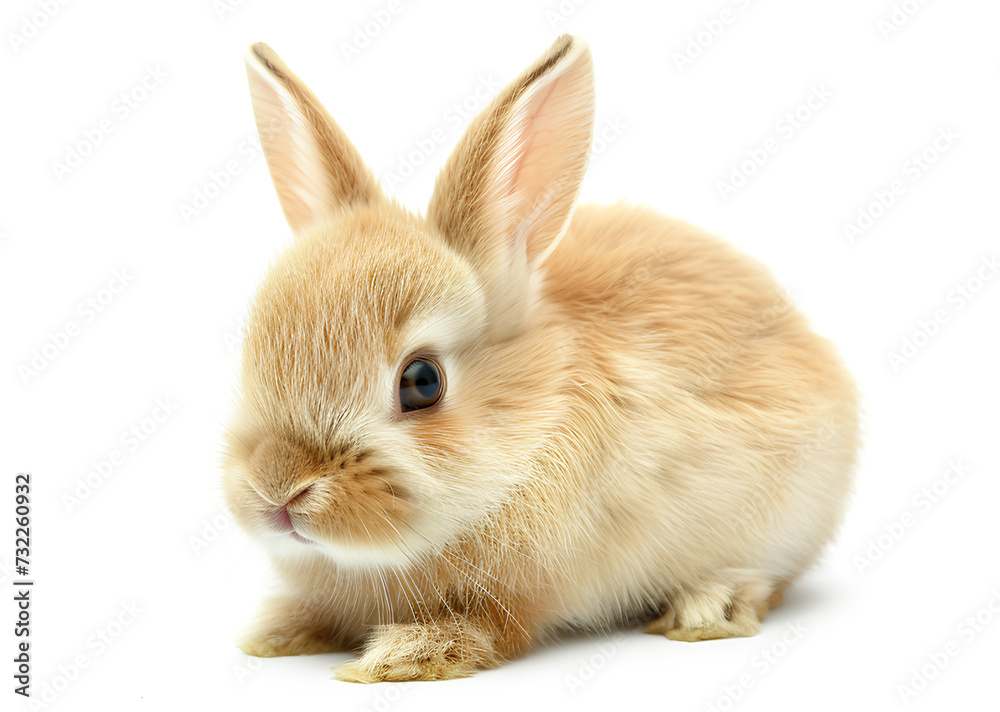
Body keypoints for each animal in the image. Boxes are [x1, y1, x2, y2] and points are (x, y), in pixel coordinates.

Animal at [222, 34, 860, 683]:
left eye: (422, 382)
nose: (278, 488)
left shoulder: (520, 595)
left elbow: (488, 628)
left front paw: (404, 655)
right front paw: (275, 633)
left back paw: (709, 608)